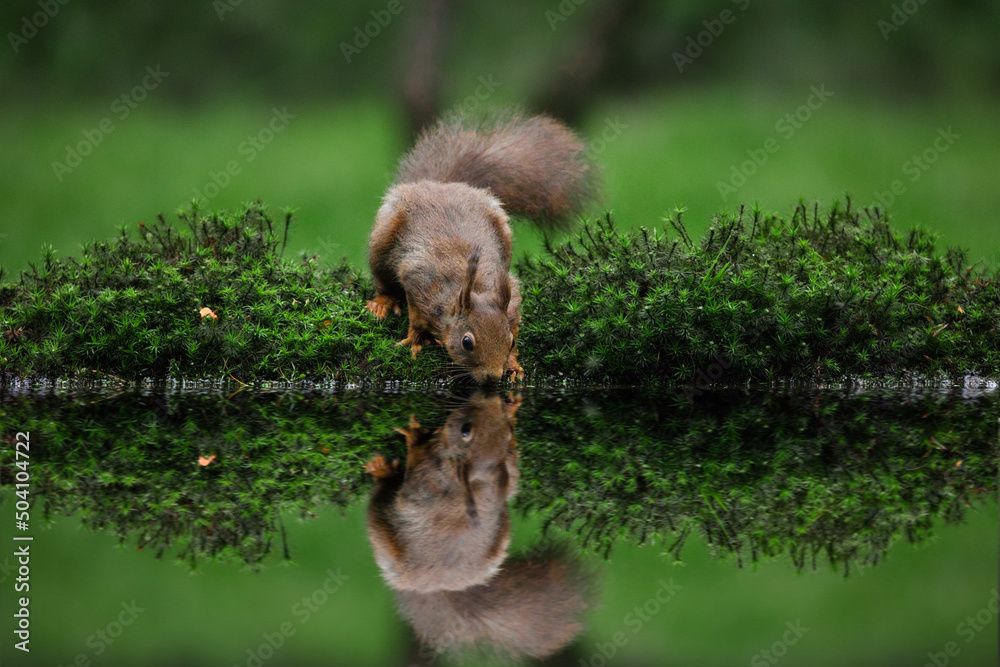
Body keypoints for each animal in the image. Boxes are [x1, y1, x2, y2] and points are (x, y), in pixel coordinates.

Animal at [365, 109, 595, 383]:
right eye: (467, 342)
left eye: (511, 341)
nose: (492, 377)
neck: (473, 288)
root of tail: (442, 184)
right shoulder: (419, 280)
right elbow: (416, 317)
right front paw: (416, 340)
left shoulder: (512, 300)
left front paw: (513, 365)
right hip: (382, 239)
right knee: (383, 280)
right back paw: (383, 302)